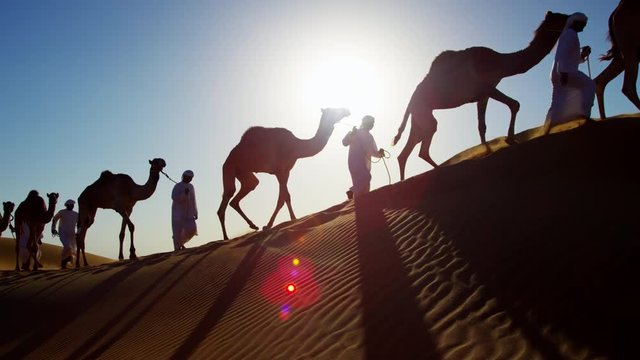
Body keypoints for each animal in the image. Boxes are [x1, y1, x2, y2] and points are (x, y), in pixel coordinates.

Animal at [219, 108, 352, 240]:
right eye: (333, 110)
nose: (347, 110)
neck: (296, 146)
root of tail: (227, 159)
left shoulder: (287, 171)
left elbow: (286, 197)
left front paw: (292, 219)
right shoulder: (279, 170)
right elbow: (282, 198)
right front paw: (269, 225)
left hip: (243, 172)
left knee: (245, 190)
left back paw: (252, 226)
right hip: (229, 167)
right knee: (228, 195)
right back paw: (226, 237)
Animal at [392, 11, 568, 180]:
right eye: (561, 18)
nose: (575, 18)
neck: (500, 62)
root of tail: (410, 101)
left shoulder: (482, 96)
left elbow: (481, 126)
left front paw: (487, 150)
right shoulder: (485, 87)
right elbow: (515, 104)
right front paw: (509, 139)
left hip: (419, 116)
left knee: (407, 151)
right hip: (423, 112)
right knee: (424, 141)